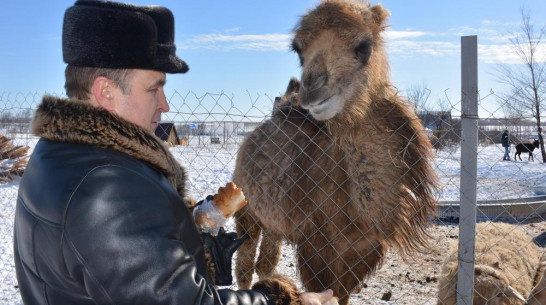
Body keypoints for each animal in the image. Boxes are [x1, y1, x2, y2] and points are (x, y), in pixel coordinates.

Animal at [232, 1, 436, 302]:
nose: (312, 89)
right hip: (246, 209)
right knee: (245, 262)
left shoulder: (365, 249)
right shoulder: (316, 244)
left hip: (273, 221)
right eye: (298, 50)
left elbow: (343, 296)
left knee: (266, 260)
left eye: (364, 46)